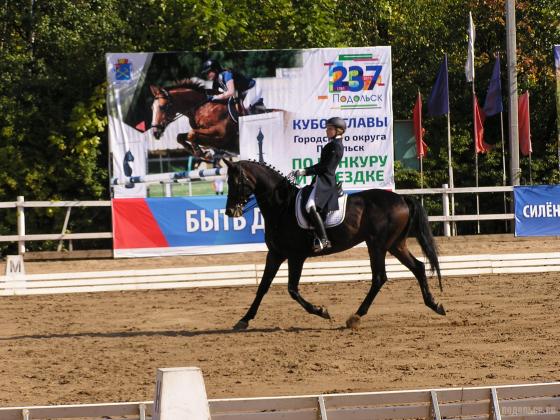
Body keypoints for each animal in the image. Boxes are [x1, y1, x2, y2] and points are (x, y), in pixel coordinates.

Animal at [223, 159, 446, 330]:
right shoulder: (275, 254)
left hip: (377, 245)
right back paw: (435, 305)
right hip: (395, 245)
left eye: (236, 181)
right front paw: (243, 320)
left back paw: (355, 317)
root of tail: (401, 198)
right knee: (418, 267)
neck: (281, 207)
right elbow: (262, 287)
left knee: (379, 277)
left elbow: (292, 289)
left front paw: (321, 311)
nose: (229, 211)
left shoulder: (296, 256)